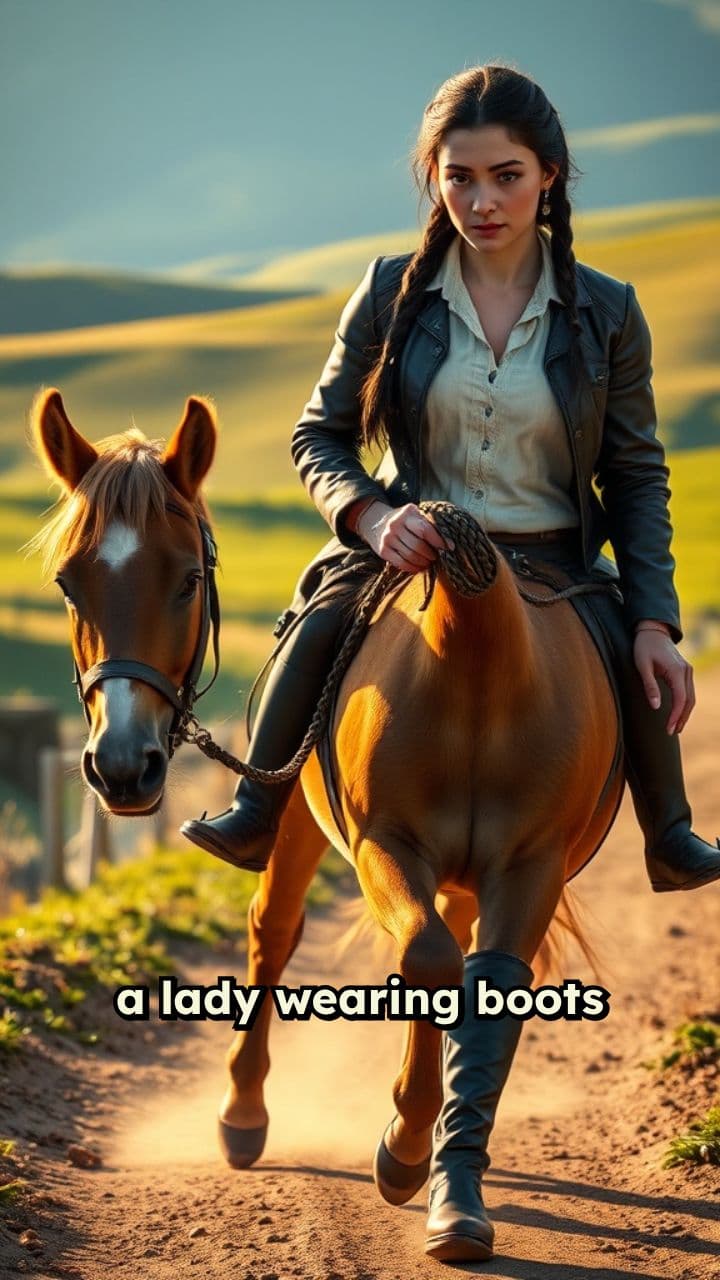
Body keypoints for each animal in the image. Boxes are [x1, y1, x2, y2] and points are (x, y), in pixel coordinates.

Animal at [28, 387, 622, 1258]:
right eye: (71, 586)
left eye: (186, 580)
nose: (124, 766)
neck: (478, 660)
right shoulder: (385, 844)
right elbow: (426, 959)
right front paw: (407, 1150)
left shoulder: (530, 866)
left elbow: (474, 981)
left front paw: (441, 1173)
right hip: (296, 828)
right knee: (275, 930)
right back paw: (243, 1118)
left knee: (443, 941)